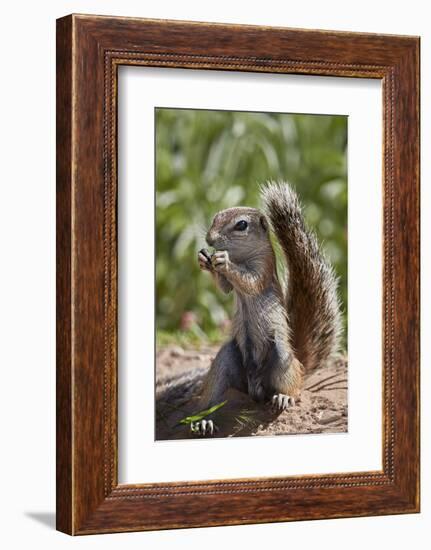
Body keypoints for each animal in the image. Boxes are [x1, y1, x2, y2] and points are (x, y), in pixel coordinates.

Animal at [194, 183, 342, 438]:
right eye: (215, 218)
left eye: (241, 225)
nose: (209, 239)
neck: (240, 256)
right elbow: (225, 288)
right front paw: (205, 261)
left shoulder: (262, 269)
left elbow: (250, 282)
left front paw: (224, 261)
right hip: (227, 358)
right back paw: (205, 419)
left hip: (282, 356)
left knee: (293, 389)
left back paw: (283, 396)